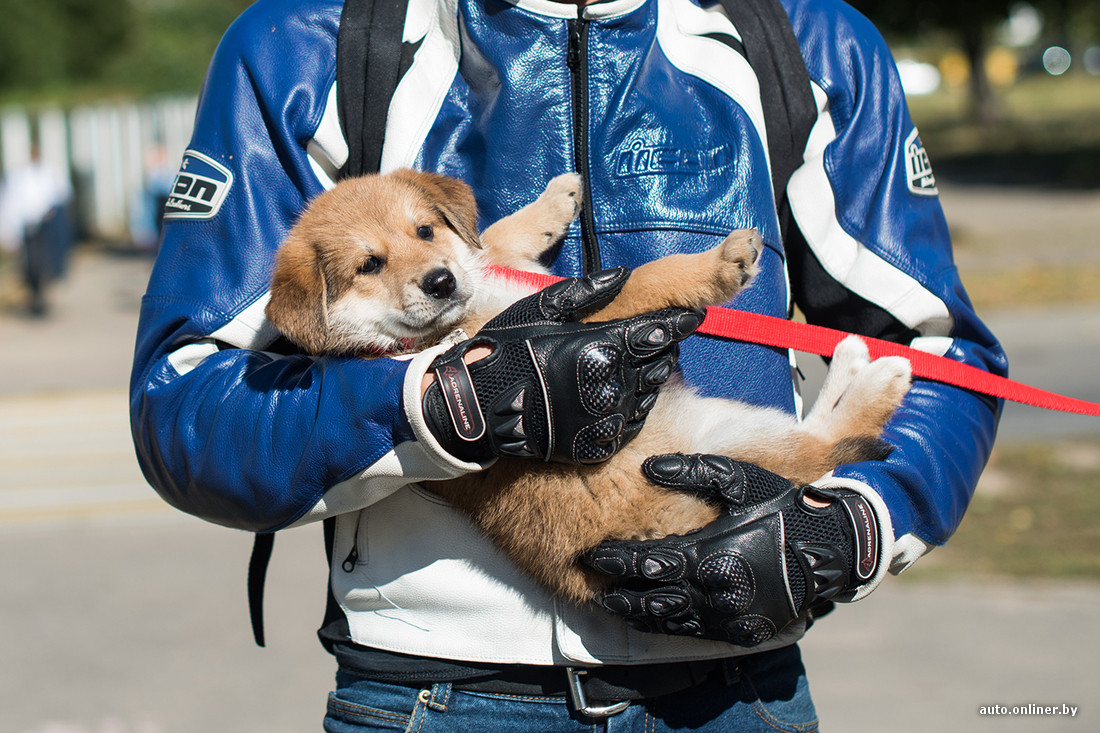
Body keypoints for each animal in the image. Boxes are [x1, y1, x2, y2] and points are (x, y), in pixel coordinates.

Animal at [265, 169, 911, 604]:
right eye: (369, 265)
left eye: (424, 231)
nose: (441, 281)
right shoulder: (591, 314)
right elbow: (651, 277)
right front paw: (719, 264)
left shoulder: (512, 272)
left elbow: (499, 234)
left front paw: (556, 197)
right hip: (738, 444)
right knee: (828, 441)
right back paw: (882, 373)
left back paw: (854, 359)